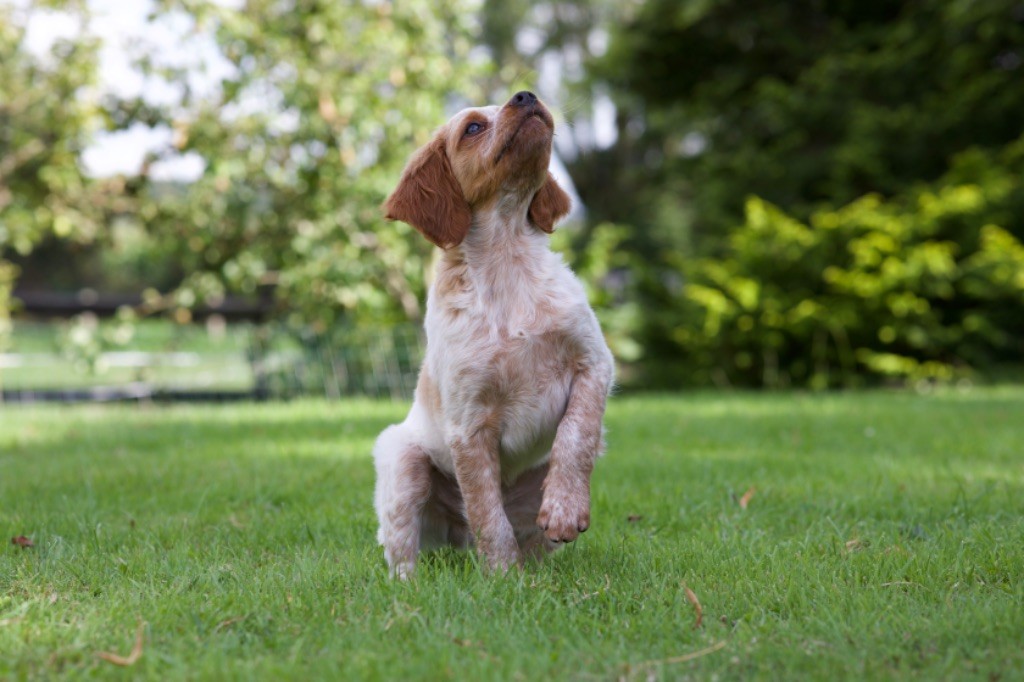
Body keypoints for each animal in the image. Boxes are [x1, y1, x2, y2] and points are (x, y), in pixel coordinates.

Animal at [373, 91, 614, 577]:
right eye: (472, 128)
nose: (526, 95)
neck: (507, 257)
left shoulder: (595, 363)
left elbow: (576, 435)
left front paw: (564, 508)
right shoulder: (469, 425)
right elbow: (487, 511)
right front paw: (503, 578)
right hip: (401, 460)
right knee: (402, 551)